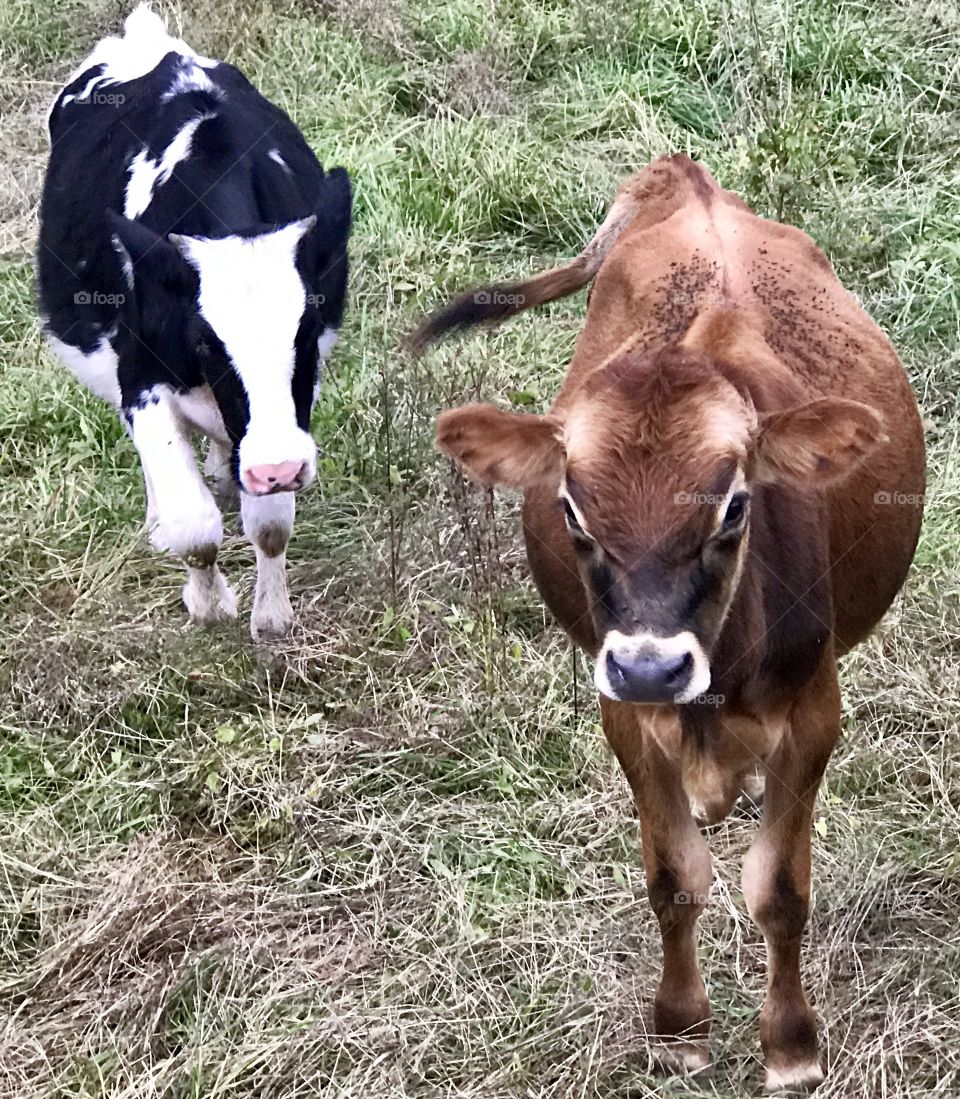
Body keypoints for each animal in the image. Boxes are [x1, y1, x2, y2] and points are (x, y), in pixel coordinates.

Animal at [39, 4, 351, 637]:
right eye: (207, 345)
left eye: (306, 333)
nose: (278, 467)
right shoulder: (140, 378)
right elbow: (193, 524)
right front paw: (208, 604)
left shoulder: (288, 409)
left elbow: (271, 524)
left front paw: (271, 616)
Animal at [408, 154, 918, 1090]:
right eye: (571, 509)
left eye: (735, 506)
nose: (652, 666)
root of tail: (686, 177)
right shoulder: (624, 714)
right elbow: (675, 877)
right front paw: (680, 1027)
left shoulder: (815, 712)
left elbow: (779, 889)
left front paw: (790, 1043)